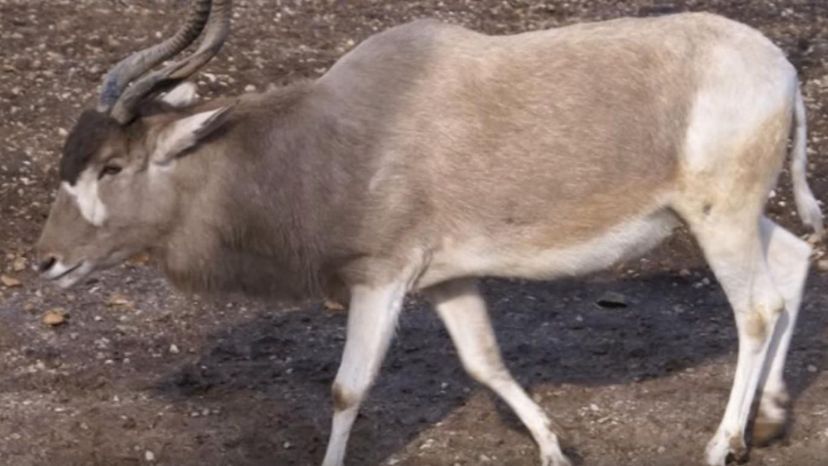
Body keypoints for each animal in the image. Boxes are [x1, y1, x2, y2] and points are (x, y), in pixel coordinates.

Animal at [34, 0, 820, 466]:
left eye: (112, 166)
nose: (46, 261)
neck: (334, 136)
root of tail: (780, 68)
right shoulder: (448, 278)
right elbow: (485, 363)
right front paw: (554, 448)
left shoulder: (381, 277)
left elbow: (347, 389)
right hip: (724, 215)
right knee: (793, 258)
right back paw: (770, 419)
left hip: (717, 216)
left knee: (757, 308)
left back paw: (723, 443)